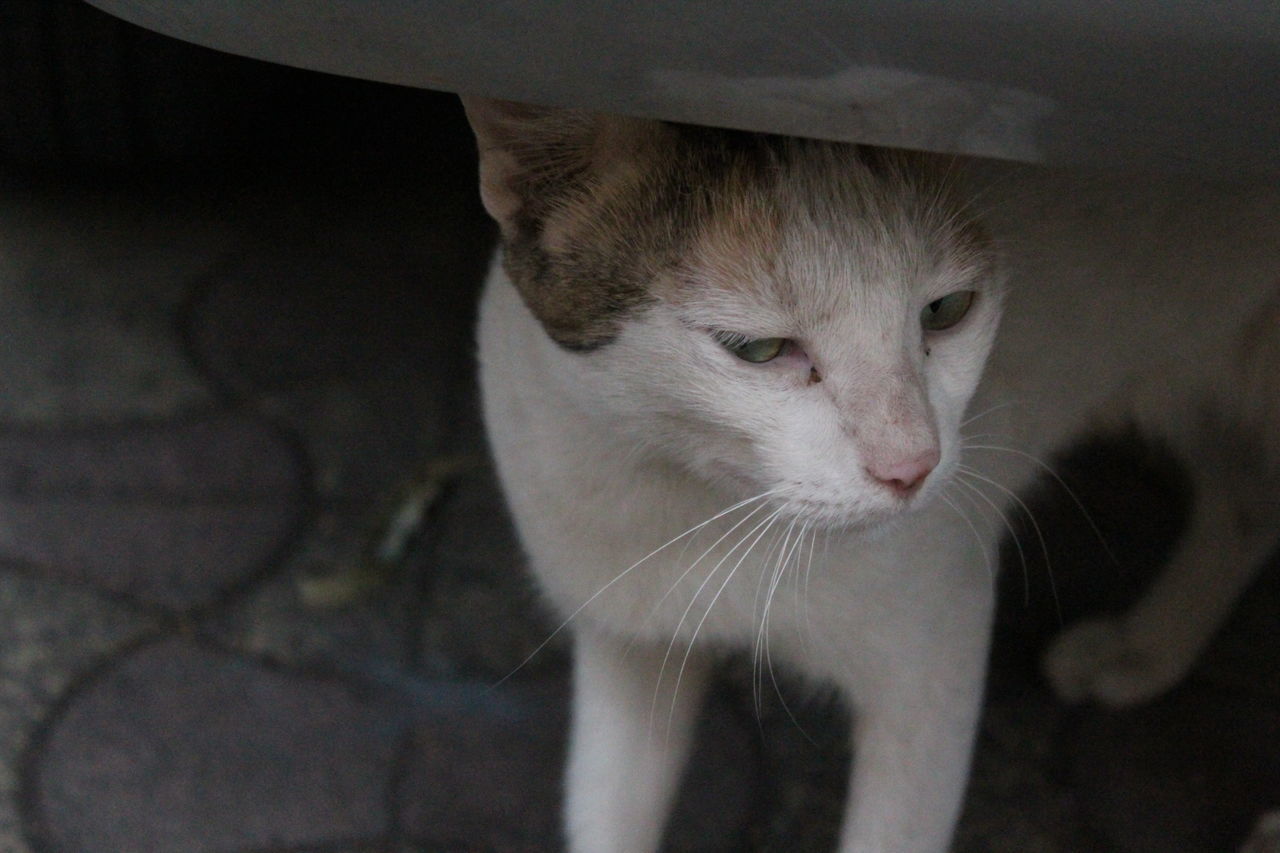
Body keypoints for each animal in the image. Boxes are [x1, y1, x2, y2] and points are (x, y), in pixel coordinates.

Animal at [460, 96, 1280, 845]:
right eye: (758, 349)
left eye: (948, 309)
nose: (911, 464)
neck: (697, 504)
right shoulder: (625, 643)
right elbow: (608, 809)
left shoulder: (932, 672)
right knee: (1248, 505)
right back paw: (1145, 650)